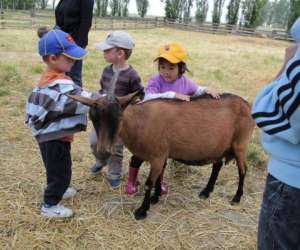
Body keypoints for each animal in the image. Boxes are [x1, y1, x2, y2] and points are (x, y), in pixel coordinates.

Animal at [68, 91, 255, 220]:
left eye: (119, 117)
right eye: (93, 118)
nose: (103, 150)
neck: (140, 122)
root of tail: (247, 104)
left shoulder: (157, 156)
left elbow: (149, 183)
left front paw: (142, 210)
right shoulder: (161, 155)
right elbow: (158, 178)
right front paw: (156, 197)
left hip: (240, 144)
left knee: (243, 170)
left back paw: (237, 197)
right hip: (219, 145)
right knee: (217, 166)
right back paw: (206, 192)